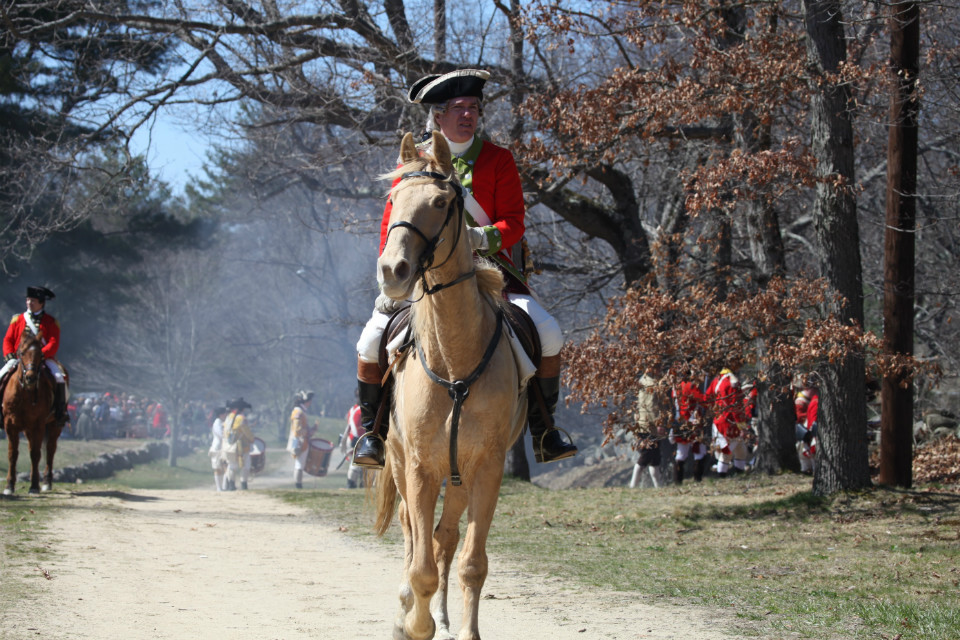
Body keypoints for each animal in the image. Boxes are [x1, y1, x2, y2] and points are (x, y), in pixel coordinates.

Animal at [2, 328, 65, 498]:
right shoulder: (10, 425)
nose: (30, 377)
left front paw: (34, 486)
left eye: (41, 355)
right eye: (22, 352)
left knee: (50, 450)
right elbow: (12, 454)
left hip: (54, 426)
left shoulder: (38, 425)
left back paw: (46, 482)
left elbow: (36, 454)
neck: (25, 393)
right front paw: (9, 485)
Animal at [374, 131, 524, 640]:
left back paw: (438, 612)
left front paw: (462, 629)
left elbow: (470, 563)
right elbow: (420, 564)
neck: (455, 360)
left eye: (441, 202)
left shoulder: (487, 467)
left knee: (445, 536)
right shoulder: (420, 468)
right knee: (411, 532)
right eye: (393, 200)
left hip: (458, 477)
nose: (392, 271)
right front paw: (413, 624)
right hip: (402, 462)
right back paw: (406, 606)